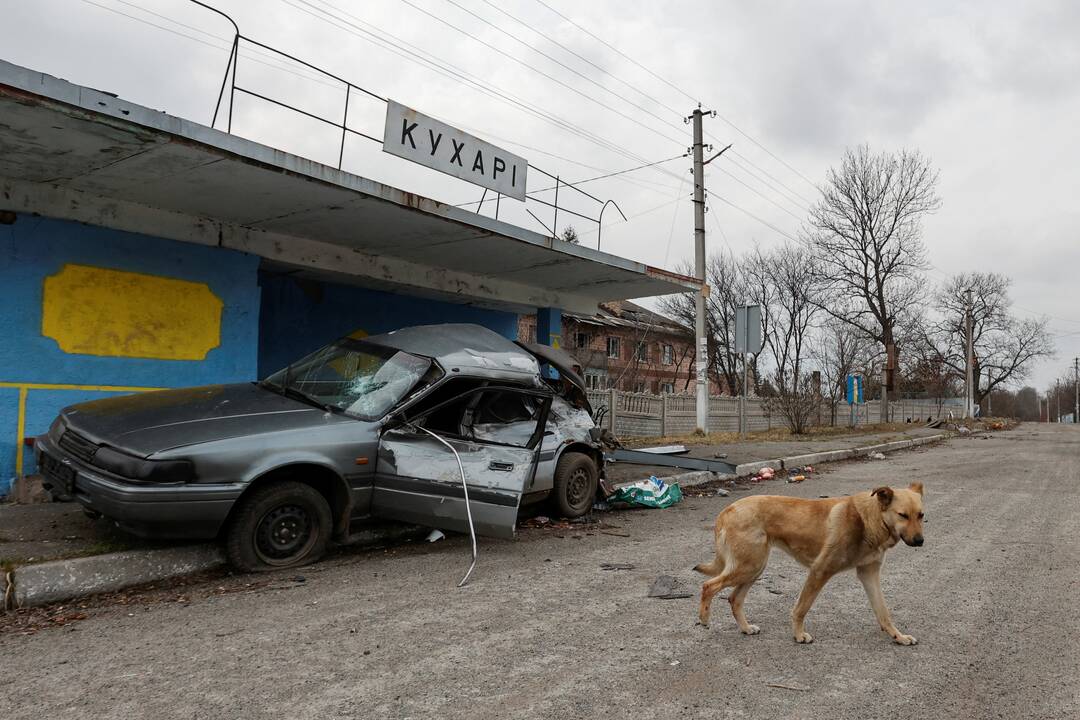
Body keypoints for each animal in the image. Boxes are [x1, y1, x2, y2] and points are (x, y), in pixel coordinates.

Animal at [695, 483, 924, 643]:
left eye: (921, 515)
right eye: (903, 515)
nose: (920, 541)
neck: (869, 519)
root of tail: (727, 510)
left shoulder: (869, 574)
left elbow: (883, 611)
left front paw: (898, 636)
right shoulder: (819, 571)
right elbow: (801, 608)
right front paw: (798, 635)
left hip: (754, 568)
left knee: (734, 599)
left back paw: (745, 628)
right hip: (749, 566)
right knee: (709, 585)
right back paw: (704, 619)